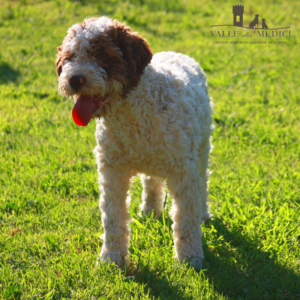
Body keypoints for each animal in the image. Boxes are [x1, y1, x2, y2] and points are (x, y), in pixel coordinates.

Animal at [55, 16, 212, 268]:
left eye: (103, 55)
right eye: (70, 57)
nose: (74, 79)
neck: (132, 111)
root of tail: (177, 53)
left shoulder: (183, 171)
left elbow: (186, 218)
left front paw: (189, 258)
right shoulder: (112, 170)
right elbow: (113, 217)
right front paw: (111, 259)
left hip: (202, 146)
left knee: (203, 181)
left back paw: (204, 214)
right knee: (152, 181)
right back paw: (149, 209)